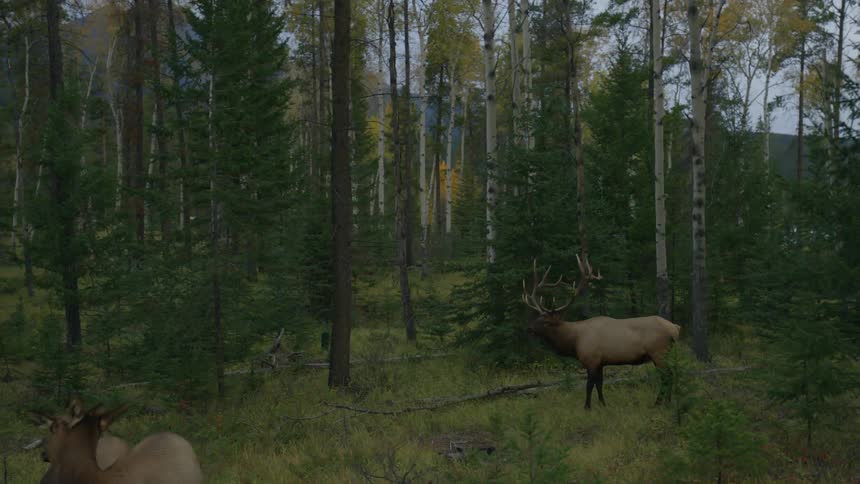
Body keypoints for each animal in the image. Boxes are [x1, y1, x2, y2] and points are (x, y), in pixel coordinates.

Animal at [522, 255, 681, 410]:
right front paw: (603, 404)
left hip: (658, 352)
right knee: (670, 375)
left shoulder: (591, 359)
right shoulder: (600, 362)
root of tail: (675, 328)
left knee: (667, 376)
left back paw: (660, 403)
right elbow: (599, 384)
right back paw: (666, 402)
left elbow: (589, 385)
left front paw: (587, 407)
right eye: (537, 317)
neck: (574, 341)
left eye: (545, 322)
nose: (529, 328)